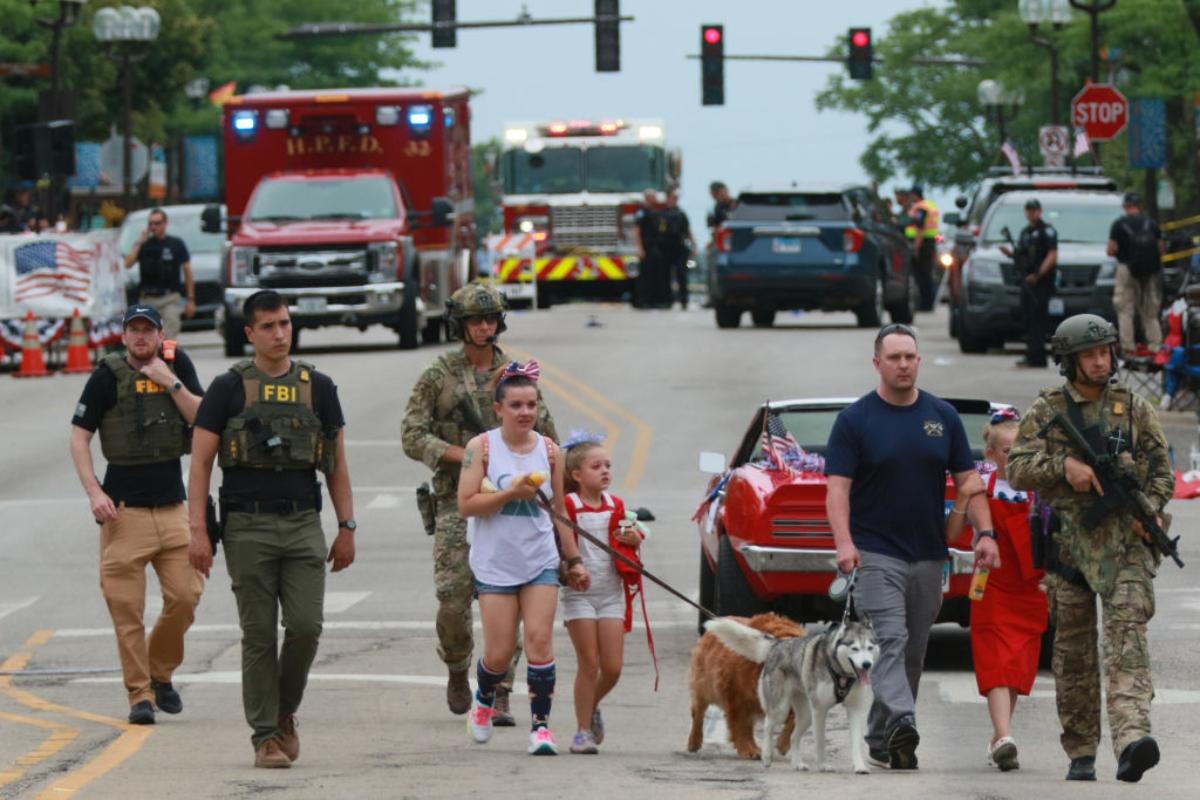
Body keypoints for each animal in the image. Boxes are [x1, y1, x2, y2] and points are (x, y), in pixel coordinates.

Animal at [700, 614, 883, 777]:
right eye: (855, 648)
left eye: (870, 647)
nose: (867, 664)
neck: (841, 672)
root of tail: (777, 644)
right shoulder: (820, 710)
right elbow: (821, 742)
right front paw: (823, 765)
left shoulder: (856, 709)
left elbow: (856, 742)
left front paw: (860, 766)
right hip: (781, 709)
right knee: (768, 723)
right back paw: (767, 756)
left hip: (806, 714)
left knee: (794, 736)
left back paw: (797, 763)